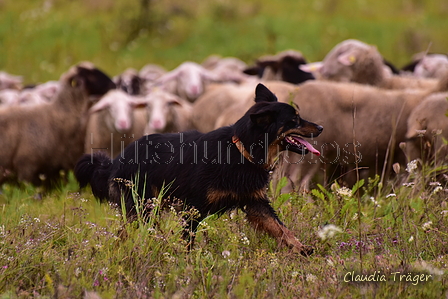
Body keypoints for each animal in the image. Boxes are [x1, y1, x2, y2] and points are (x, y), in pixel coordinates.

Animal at [76, 84, 322, 255]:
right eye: (294, 120)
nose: (320, 127)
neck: (241, 150)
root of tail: (116, 161)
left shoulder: (255, 202)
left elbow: (281, 228)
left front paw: (302, 248)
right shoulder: (192, 210)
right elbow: (188, 243)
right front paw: (186, 264)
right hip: (144, 206)